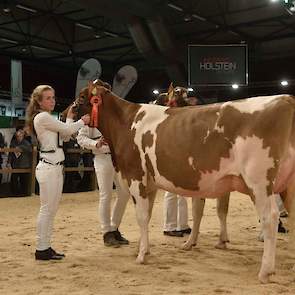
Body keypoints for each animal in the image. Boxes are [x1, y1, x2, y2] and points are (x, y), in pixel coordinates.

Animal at [75, 80, 295, 284]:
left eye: (81, 96)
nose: (69, 110)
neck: (126, 123)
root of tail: (285, 99)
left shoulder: (136, 177)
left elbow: (141, 217)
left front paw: (141, 255)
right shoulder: (150, 183)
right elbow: (149, 215)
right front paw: (147, 249)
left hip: (258, 181)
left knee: (270, 217)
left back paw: (265, 271)